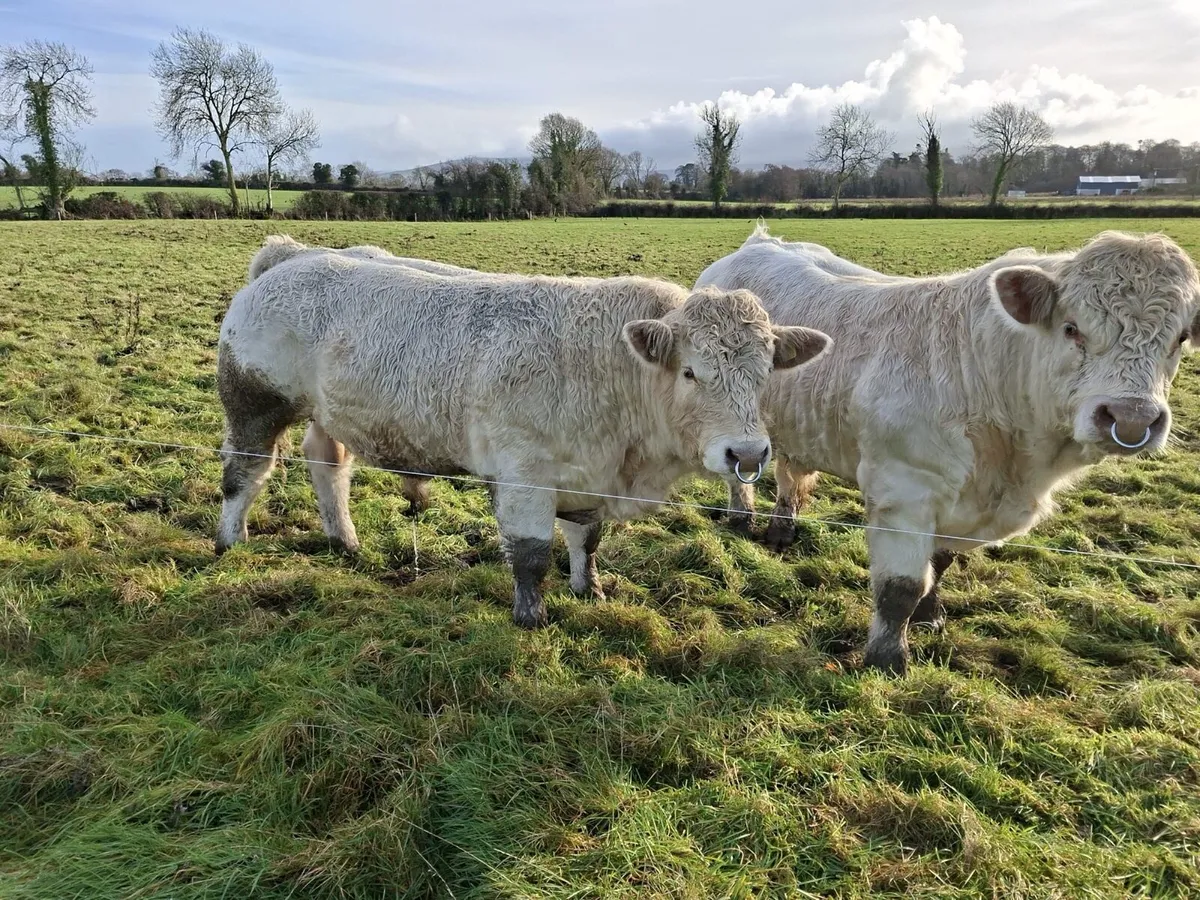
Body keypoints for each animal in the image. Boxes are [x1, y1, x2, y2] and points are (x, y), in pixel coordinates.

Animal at [216, 243, 831, 628]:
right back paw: (229, 540)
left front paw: (591, 590)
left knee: (327, 462)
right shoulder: (524, 474)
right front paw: (531, 616)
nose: (747, 452)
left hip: (329, 413)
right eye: (690, 372)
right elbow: (532, 554)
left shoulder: (586, 476)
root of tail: (290, 255)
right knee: (245, 472)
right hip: (254, 403)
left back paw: (343, 538)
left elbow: (586, 540)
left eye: (765, 372)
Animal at [695, 224, 1200, 674]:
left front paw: (930, 615)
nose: (1131, 418)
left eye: (1180, 338)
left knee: (790, 474)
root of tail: (759, 242)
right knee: (739, 472)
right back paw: (742, 517)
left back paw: (783, 528)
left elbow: (939, 563)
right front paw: (887, 660)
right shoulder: (905, 490)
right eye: (1072, 328)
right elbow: (899, 588)